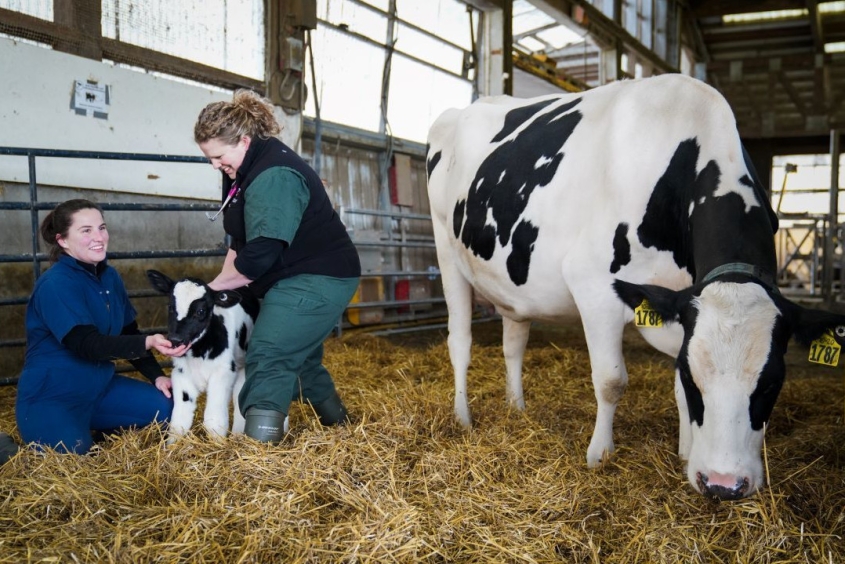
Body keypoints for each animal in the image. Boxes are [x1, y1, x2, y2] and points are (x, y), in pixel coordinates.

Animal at [147, 270, 260, 446]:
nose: (175, 339)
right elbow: (180, 420)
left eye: (200, 311)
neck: (198, 353)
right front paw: (173, 446)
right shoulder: (181, 374)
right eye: (171, 307)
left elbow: (214, 419)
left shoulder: (223, 373)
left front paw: (218, 445)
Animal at [426, 74, 844, 498]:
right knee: (460, 342)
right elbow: (611, 380)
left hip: (514, 287)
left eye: (773, 382)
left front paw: (684, 452)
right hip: (446, 251)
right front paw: (600, 454)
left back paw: (517, 407)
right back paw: (463, 416)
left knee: (514, 344)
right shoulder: (594, 286)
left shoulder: (678, 304)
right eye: (696, 379)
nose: (723, 485)